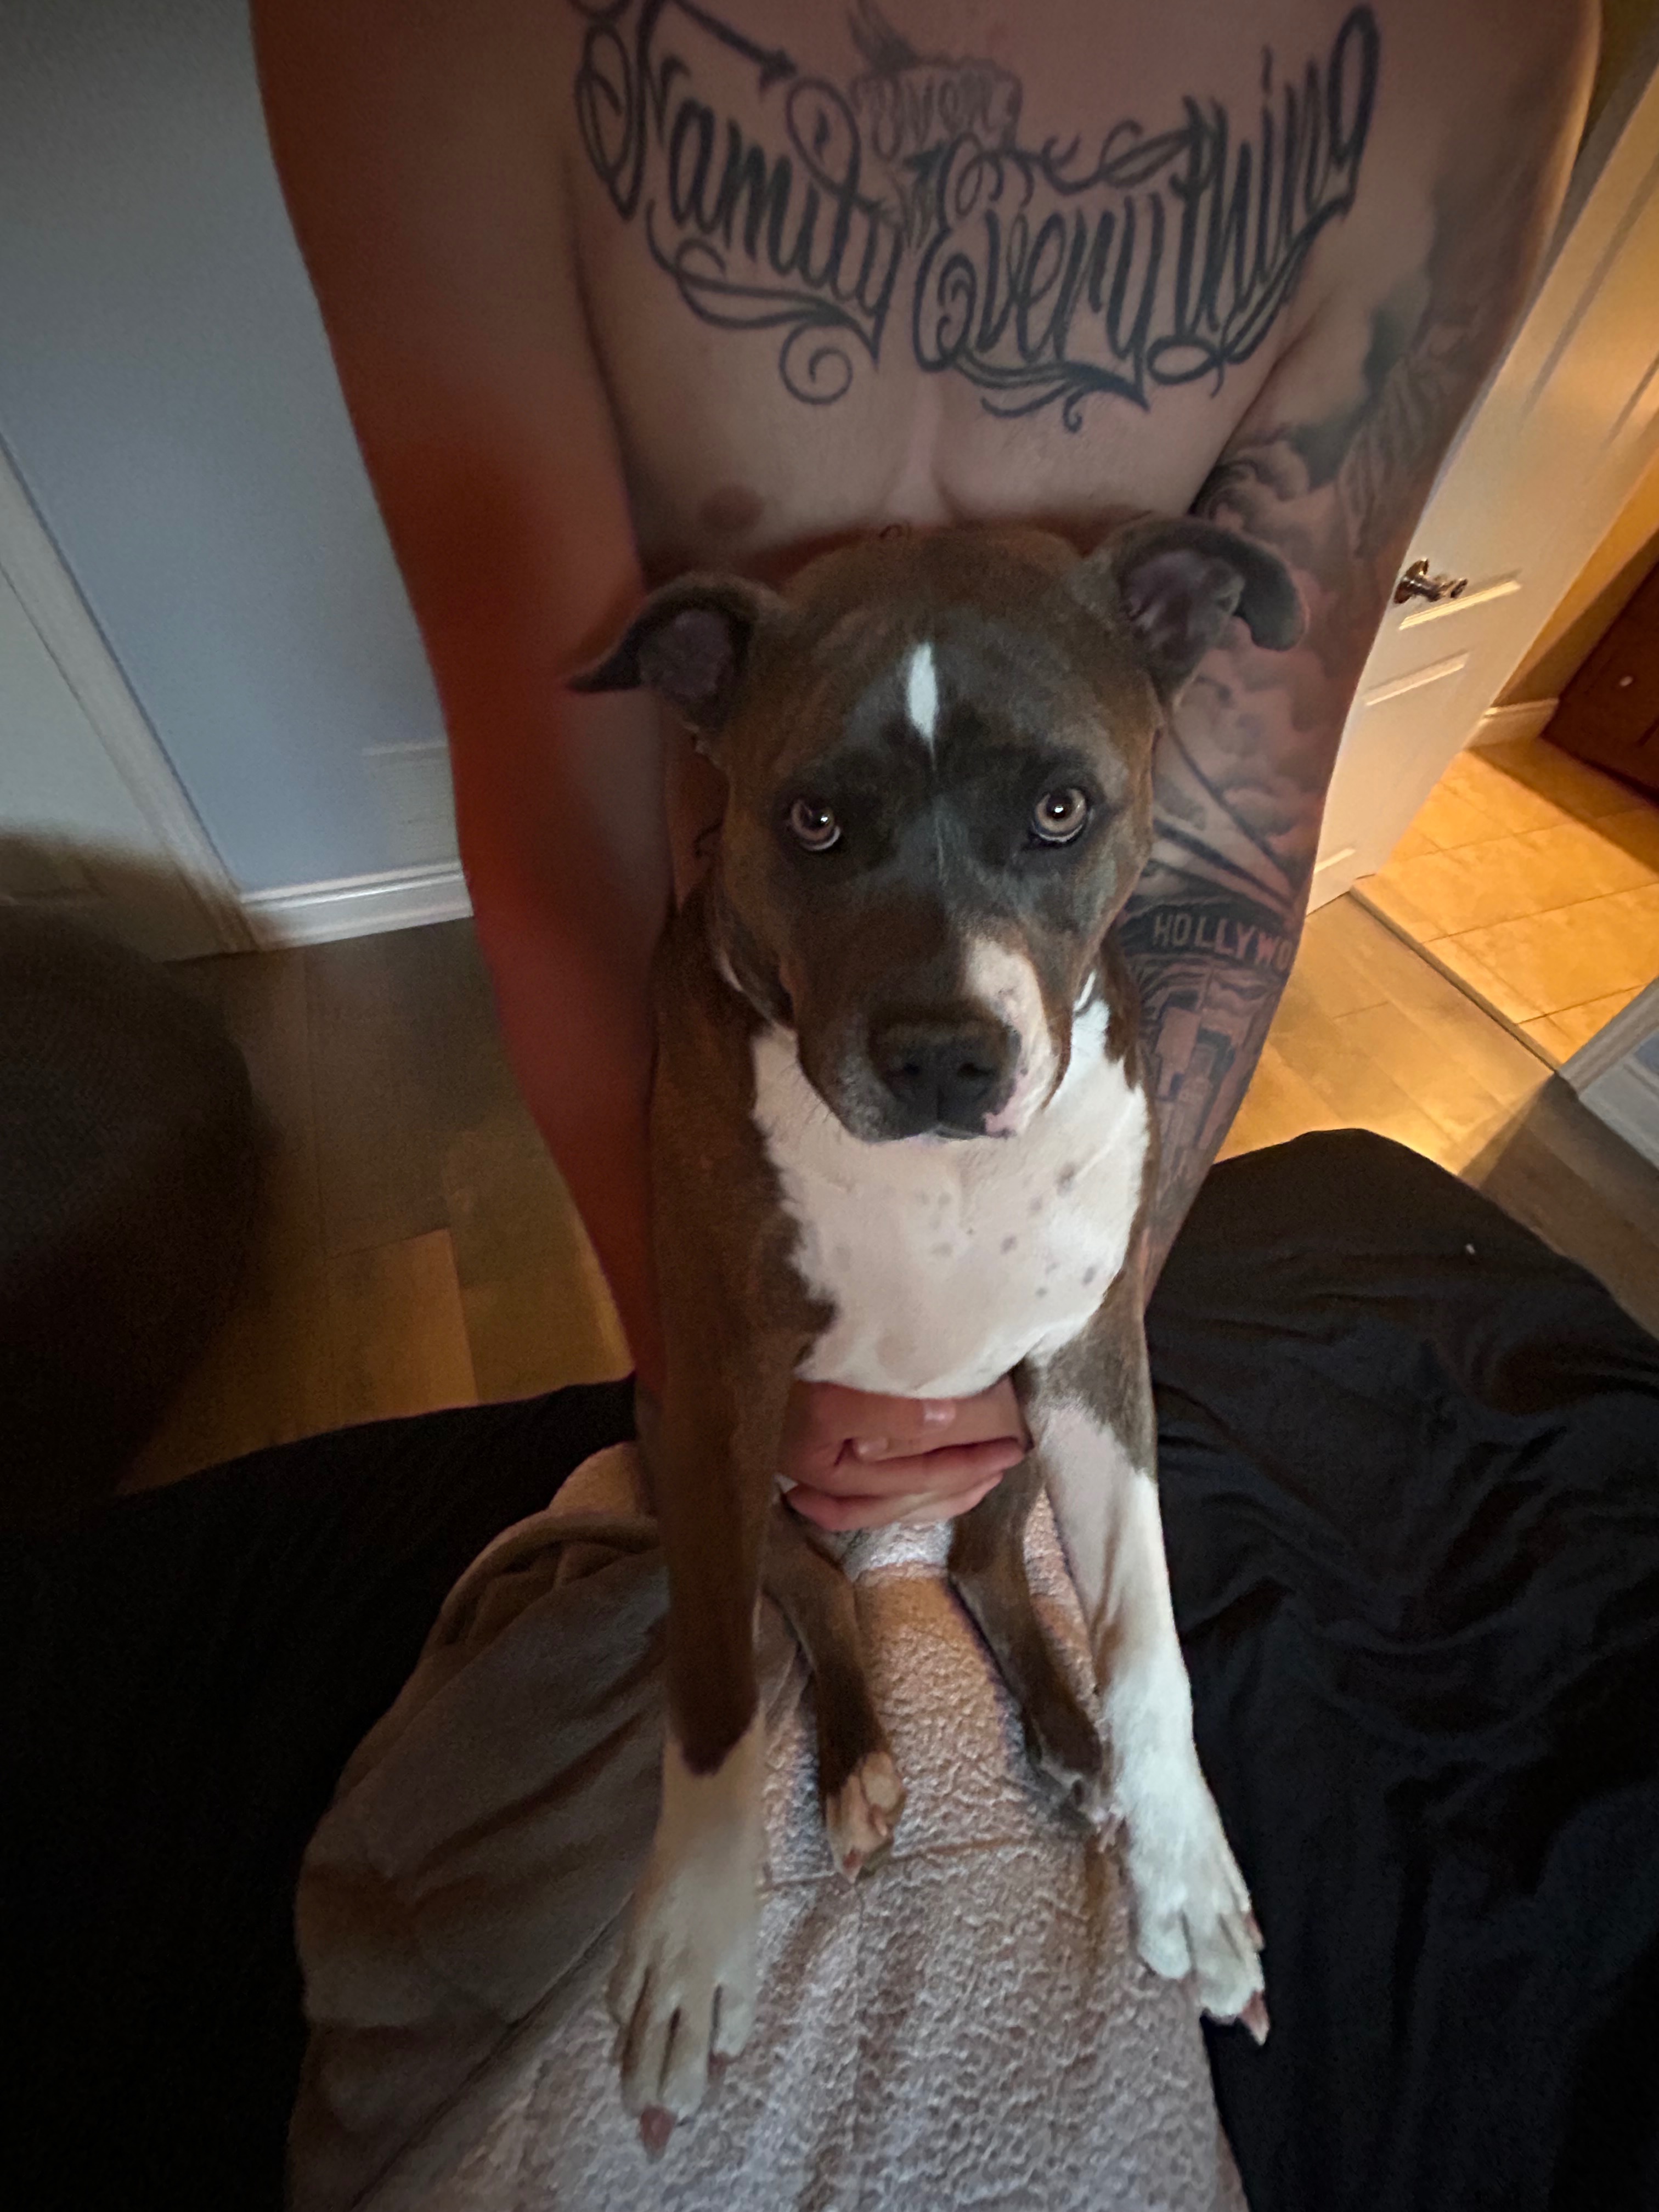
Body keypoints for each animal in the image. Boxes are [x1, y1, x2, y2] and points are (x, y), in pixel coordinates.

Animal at [572, 517, 1303, 2149]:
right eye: (813, 823)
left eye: (1059, 808)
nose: (944, 1056)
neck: (938, 1176)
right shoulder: (721, 1382)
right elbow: (712, 1682)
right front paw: (693, 1926)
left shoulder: (1096, 1363)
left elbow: (1145, 1630)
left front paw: (1185, 1859)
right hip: (679, 1444)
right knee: (812, 1595)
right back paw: (853, 1762)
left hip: (1014, 1433)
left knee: (982, 1559)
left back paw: (1071, 1746)